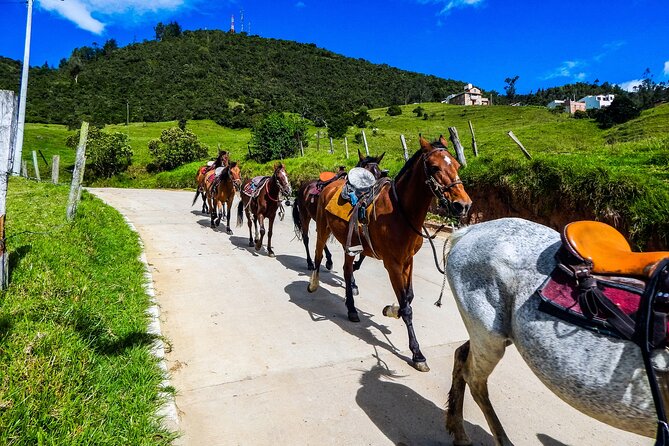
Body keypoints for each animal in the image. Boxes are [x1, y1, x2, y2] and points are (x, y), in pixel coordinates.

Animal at [306, 137, 470, 372]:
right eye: (434, 167)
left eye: (457, 165)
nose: (463, 205)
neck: (401, 213)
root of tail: (329, 185)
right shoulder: (392, 264)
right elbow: (407, 308)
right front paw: (417, 353)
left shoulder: (408, 261)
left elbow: (408, 298)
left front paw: (390, 310)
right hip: (322, 228)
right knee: (319, 254)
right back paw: (313, 284)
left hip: (349, 244)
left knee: (347, 271)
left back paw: (351, 309)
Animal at [444, 218, 668, 444]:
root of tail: (473, 229)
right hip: (489, 338)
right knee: (474, 379)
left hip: (496, 335)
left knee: (461, 355)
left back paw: (459, 431)